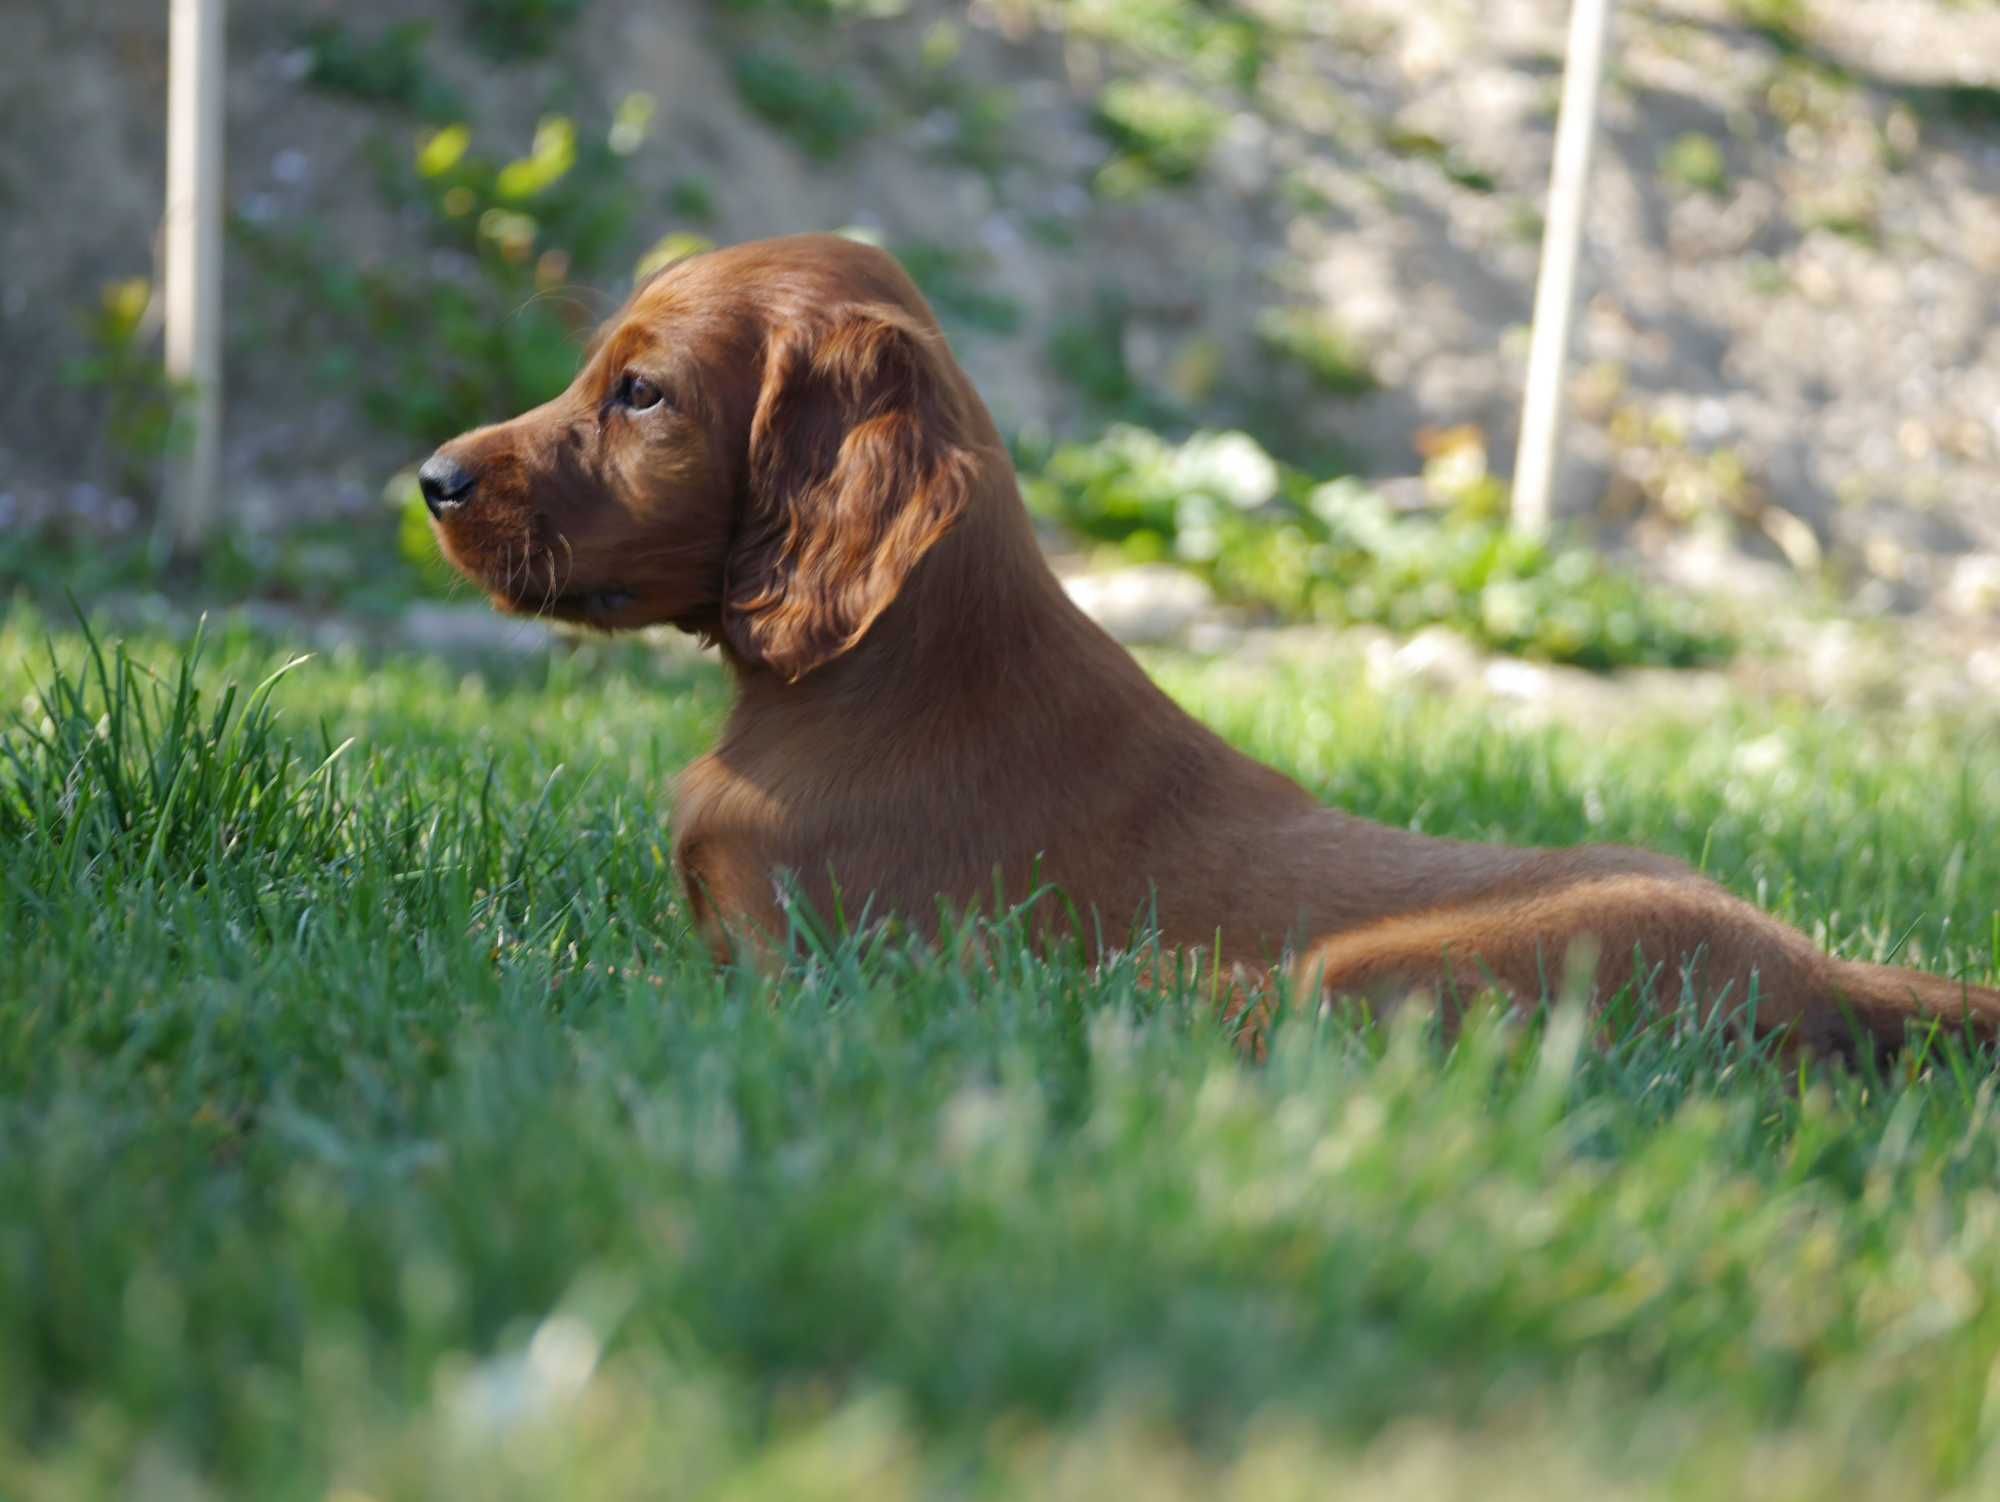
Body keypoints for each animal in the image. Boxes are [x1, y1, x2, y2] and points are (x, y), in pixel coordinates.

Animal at [426, 235, 2000, 1056]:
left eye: (640, 394)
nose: (430, 478)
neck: (867, 678)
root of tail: (1828, 970)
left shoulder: (796, 971)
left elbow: (596, 983)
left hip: (1357, 977)